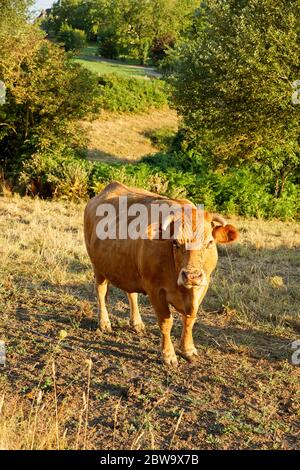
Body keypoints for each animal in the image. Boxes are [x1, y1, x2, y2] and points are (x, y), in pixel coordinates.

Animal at [84, 181, 239, 368]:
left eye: (209, 242)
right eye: (176, 242)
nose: (191, 276)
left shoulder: (203, 286)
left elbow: (190, 319)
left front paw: (188, 349)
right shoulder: (155, 290)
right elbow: (166, 322)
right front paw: (168, 355)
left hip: (129, 270)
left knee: (131, 294)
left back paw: (137, 323)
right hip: (98, 268)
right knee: (101, 292)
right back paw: (104, 322)